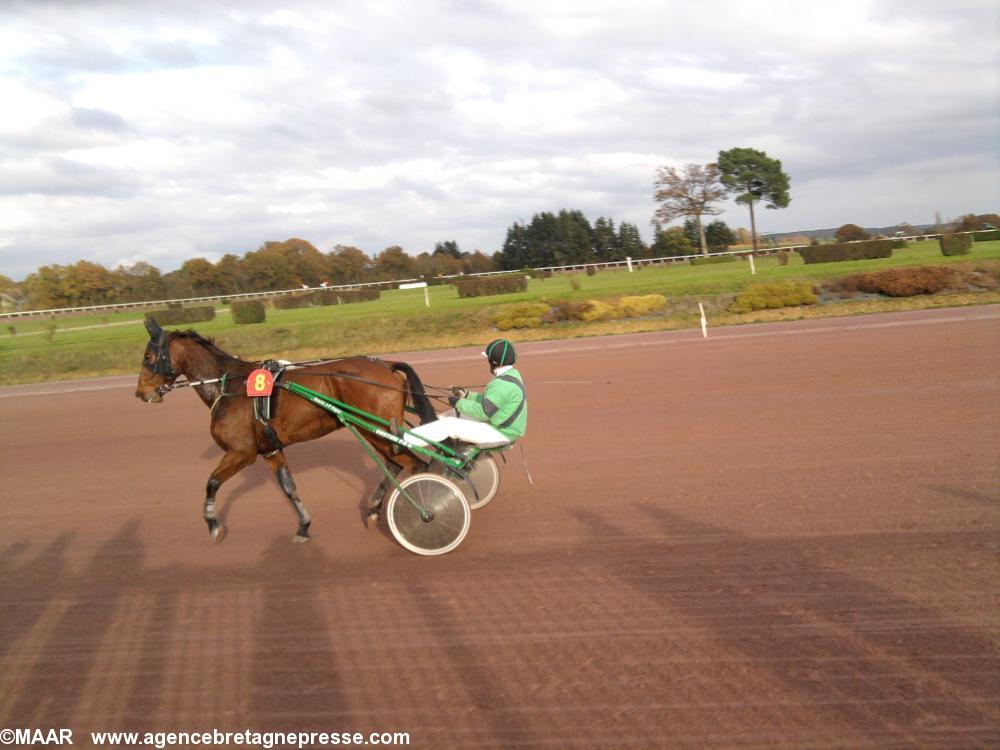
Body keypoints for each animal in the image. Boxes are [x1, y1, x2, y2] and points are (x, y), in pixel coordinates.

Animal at [136, 318, 438, 548]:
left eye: (148, 356)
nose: (141, 393)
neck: (230, 386)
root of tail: (386, 365)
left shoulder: (241, 453)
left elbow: (211, 482)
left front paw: (213, 525)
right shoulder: (271, 450)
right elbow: (288, 488)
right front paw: (303, 526)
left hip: (373, 428)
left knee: (413, 464)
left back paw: (421, 511)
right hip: (380, 431)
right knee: (396, 463)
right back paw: (374, 508)